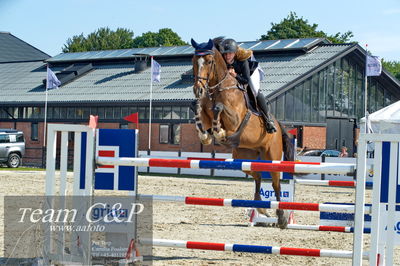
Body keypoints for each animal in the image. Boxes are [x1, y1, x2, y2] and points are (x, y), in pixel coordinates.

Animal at [191, 38, 294, 228]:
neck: (219, 89)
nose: (198, 90)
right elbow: (199, 110)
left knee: (276, 184)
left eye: (209, 61)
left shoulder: (234, 120)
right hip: (243, 157)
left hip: (272, 155)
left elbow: (219, 108)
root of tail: (279, 125)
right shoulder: (204, 111)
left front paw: (219, 131)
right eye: (194, 61)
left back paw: (281, 218)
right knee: (258, 175)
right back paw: (261, 208)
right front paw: (206, 136)